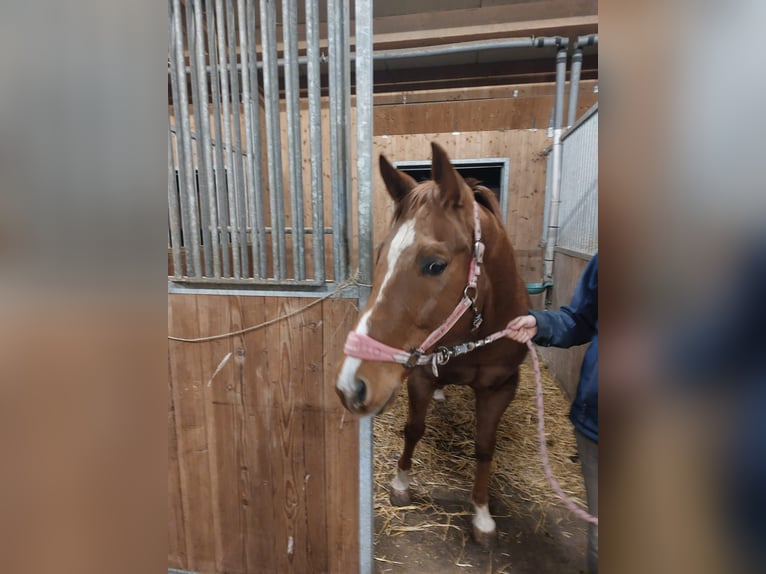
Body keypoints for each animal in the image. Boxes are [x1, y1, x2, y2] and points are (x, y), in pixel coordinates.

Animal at [335, 142, 530, 546]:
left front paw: (482, 515)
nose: (350, 385)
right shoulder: (422, 374)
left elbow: (484, 447)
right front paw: (401, 483)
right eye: (380, 254)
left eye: (435, 265)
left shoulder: (501, 387)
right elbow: (414, 429)